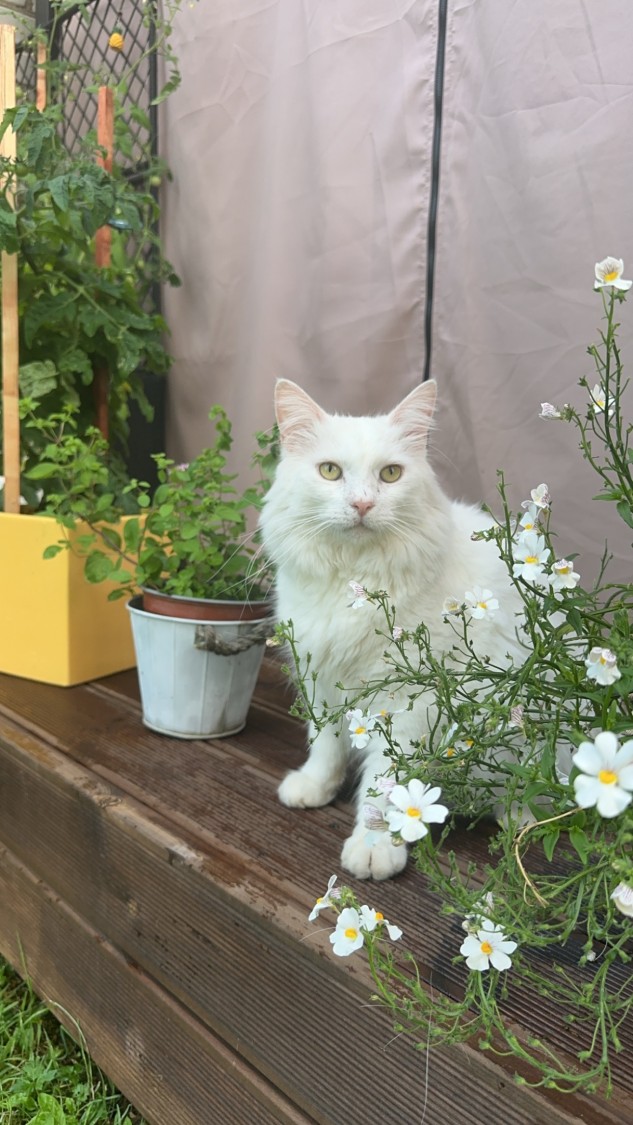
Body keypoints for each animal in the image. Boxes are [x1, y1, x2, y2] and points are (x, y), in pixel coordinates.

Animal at [260, 378, 525, 880]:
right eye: (330, 472)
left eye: (390, 475)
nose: (362, 504)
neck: (353, 582)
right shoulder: (320, 677)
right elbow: (325, 745)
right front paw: (314, 787)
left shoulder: (406, 701)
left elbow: (387, 785)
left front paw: (375, 846)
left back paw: (518, 819)